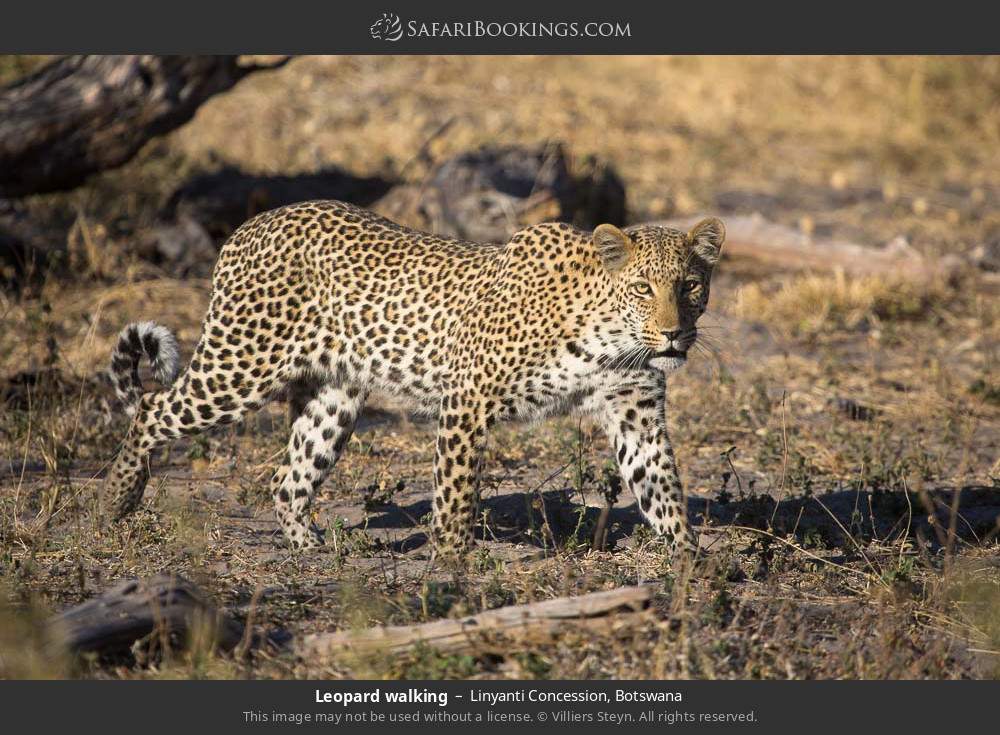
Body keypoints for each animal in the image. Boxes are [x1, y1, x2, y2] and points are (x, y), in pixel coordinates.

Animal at [105, 201, 724, 556]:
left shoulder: (636, 415)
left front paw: (691, 562)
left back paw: (313, 548)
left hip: (333, 398)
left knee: (288, 476)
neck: (606, 337)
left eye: (691, 285)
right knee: (152, 412)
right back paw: (114, 503)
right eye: (643, 288)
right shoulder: (468, 401)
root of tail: (248, 227)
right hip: (241, 365)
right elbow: (456, 492)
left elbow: (662, 488)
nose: (674, 334)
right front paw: (451, 565)